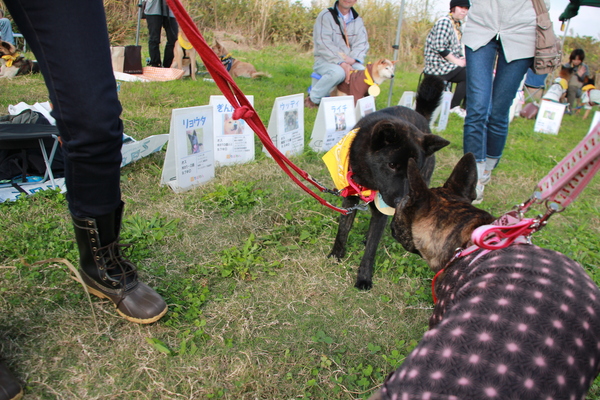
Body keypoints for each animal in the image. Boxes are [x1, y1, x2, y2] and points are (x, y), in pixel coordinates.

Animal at [328, 75, 450, 290]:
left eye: (414, 168)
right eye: (392, 165)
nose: (403, 200)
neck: (370, 181)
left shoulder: (384, 210)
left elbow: (371, 248)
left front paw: (364, 278)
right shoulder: (350, 198)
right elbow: (343, 229)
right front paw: (337, 255)